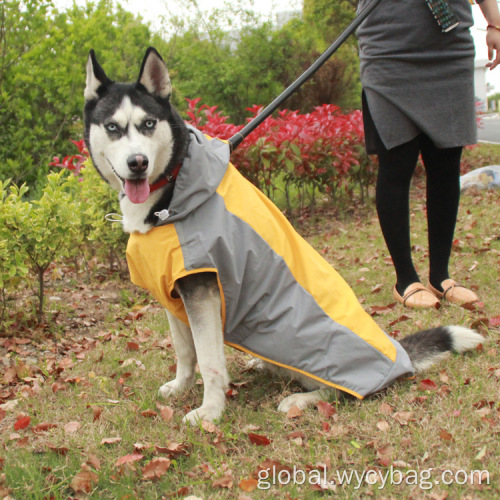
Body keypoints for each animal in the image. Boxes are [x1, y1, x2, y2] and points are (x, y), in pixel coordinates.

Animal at [83, 47, 484, 424]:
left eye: (149, 123)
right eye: (113, 127)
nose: (138, 163)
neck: (174, 188)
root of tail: (397, 356)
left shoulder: (201, 289)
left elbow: (210, 361)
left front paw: (210, 412)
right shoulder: (174, 293)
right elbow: (185, 352)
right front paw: (181, 387)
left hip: (303, 342)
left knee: (341, 390)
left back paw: (301, 399)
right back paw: (264, 366)